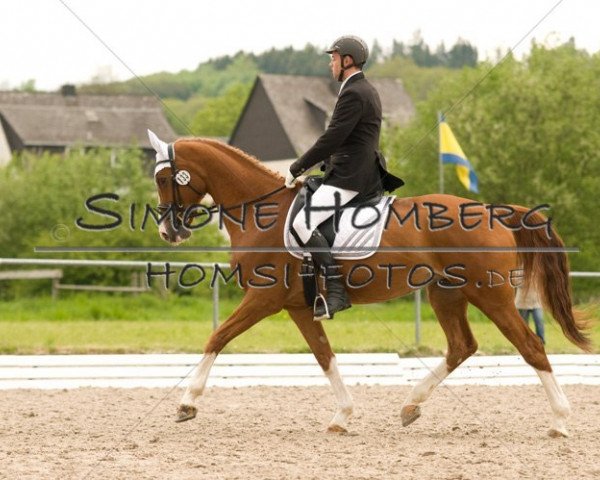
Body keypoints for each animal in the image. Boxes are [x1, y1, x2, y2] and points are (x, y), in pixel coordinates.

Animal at [148, 131, 588, 438]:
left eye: (166, 177)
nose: (168, 231)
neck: (261, 210)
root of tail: (493, 212)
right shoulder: (298, 306)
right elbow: (324, 357)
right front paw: (342, 417)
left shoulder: (264, 298)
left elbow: (217, 337)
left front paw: (187, 404)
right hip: (445, 294)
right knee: (462, 345)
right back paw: (411, 405)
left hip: (491, 296)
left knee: (531, 347)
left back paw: (560, 422)